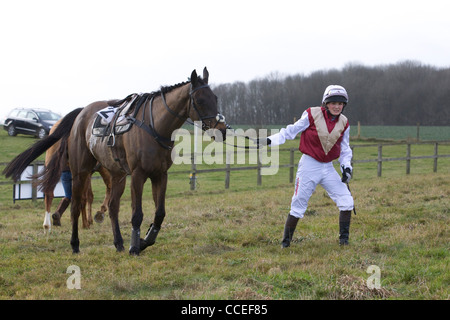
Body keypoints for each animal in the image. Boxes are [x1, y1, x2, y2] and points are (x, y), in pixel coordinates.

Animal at [3, 67, 229, 255]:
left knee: (112, 207)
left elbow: (159, 213)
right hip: (81, 172)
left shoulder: (160, 175)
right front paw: (135, 246)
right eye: (200, 100)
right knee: (76, 205)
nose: (222, 129)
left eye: (215, 97)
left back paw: (118, 242)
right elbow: (137, 214)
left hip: (116, 174)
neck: (153, 126)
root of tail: (81, 113)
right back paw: (75, 244)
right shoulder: (138, 175)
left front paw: (144, 241)